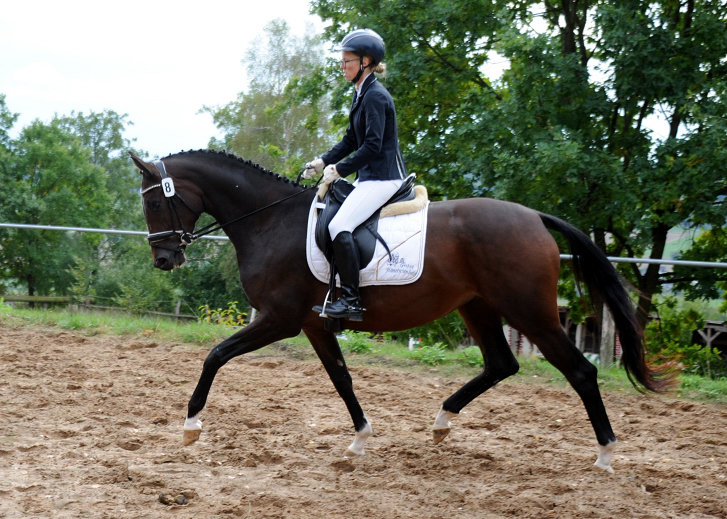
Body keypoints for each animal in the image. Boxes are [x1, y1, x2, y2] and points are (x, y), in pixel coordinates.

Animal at [131, 149, 672, 476]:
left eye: (156, 202)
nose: (164, 260)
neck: (271, 221)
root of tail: (534, 217)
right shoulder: (313, 322)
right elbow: (342, 378)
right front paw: (360, 441)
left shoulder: (280, 318)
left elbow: (215, 356)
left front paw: (191, 427)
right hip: (479, 308)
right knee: (501, 363)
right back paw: (441, 421)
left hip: (530, 312)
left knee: (580, 371)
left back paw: (605, 454)